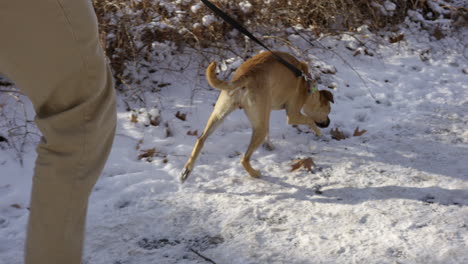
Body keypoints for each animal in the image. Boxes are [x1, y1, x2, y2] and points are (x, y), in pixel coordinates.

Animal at [179, 50, 332, 182]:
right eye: (328, 110)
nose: (328, 122)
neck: (307, 85)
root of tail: (244, 76)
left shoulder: (266, 112)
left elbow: (270, 132)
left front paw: (269, 145)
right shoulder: (292, 114)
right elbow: (310, 120)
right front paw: (319, 134)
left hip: (219, 114)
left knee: (201, 139)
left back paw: (187, 170)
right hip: (258, 127)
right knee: (244, 159)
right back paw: (255, 173)